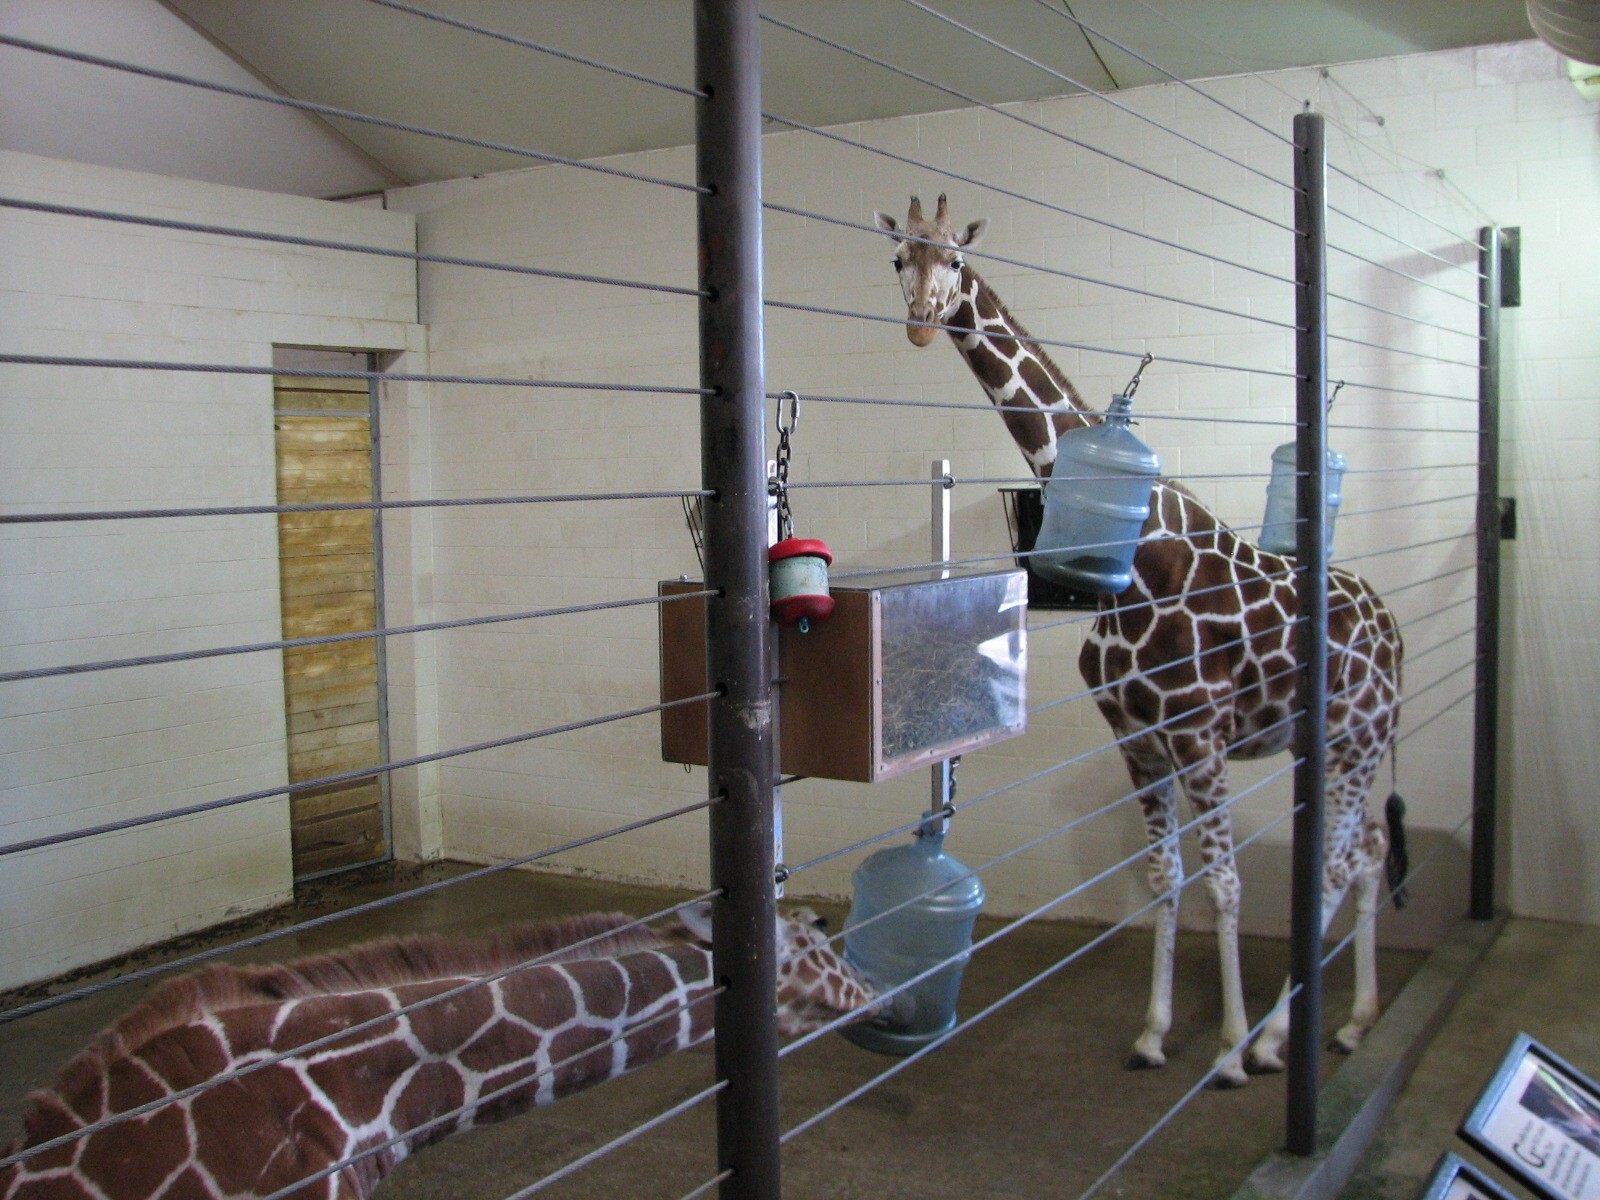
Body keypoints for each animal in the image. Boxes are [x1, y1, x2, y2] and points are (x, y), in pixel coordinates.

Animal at [874, 194, 1406, 1088]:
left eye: (954, 259)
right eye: (898, 259)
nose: (919, 323)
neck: (1143, 554)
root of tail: (1394, 627)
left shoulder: (1198, 735)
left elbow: (1225, 884)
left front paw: (1226, 1048)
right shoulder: (1136, 737)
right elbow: (1166, 877)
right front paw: (1155, 1034)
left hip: (1359, 736)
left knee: (1339, 861)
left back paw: (1274, 1039)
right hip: (1328, 740)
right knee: (1366, 851)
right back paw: (1355, 1020)